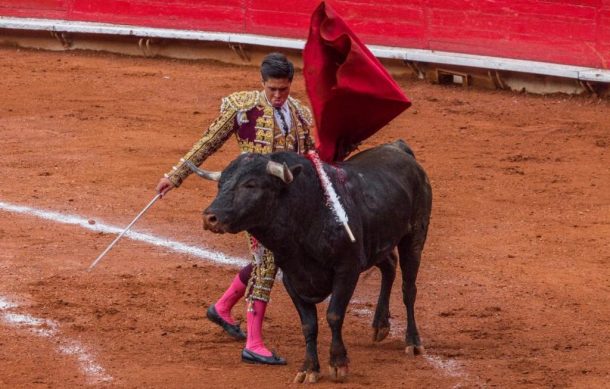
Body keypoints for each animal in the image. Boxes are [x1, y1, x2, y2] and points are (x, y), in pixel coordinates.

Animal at [189, 140, 428, 382]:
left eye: (251, 185)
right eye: (220, 185)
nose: (210, 218)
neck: (308, 214)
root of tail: (399, 147)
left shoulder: (347, 269)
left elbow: (334, 315)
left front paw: (338, 364)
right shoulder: (292, 278)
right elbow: (308, 324)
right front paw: (309, 369)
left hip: (414, 237)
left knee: (409, 289)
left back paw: (413, 342)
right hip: (376, 244)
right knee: (389, 265)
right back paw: (380, 325)